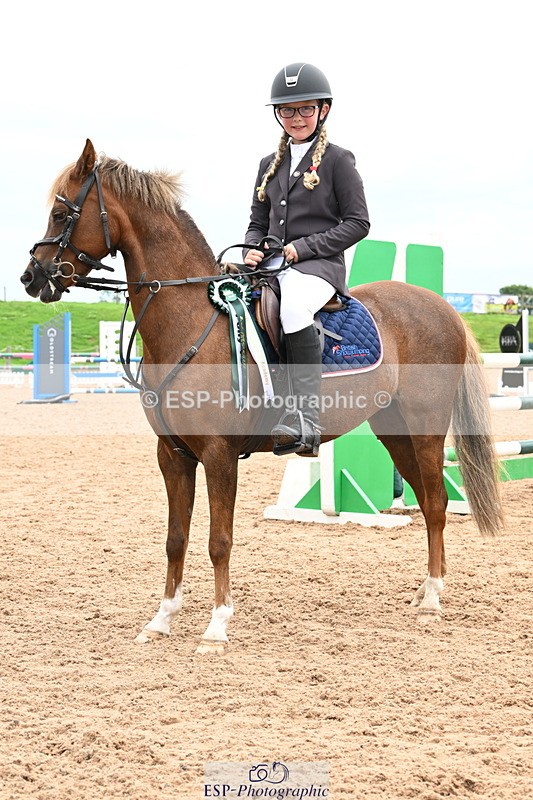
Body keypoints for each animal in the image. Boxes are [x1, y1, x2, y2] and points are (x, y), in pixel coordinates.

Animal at [20, 139, 504, 654]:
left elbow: (219, 540)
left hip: (426, 428)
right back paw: (424, 591)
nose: (32, 277)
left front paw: (216, 628)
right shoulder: (172, 455)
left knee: (435, 502)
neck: (192, 321)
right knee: (428, 499)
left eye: (60, 213)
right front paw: (162, 619)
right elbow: (175, 538)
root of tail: (440, 305)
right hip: (394, 431)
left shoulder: (218, 455)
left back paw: (432, 599)